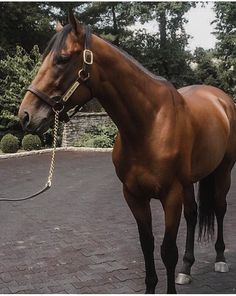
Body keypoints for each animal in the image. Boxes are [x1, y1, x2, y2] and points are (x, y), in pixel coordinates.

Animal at [18, 12, 236, 294]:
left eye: (62, 59)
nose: (25, 115)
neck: (150, 123)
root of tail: (220, 99)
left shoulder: (171, 196)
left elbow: (167, 251)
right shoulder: (134, 196)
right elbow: (147, 245)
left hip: (223, 171)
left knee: (219, 208)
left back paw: (220, 259)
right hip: (189, 183)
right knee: (193, 215)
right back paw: (186, 270)